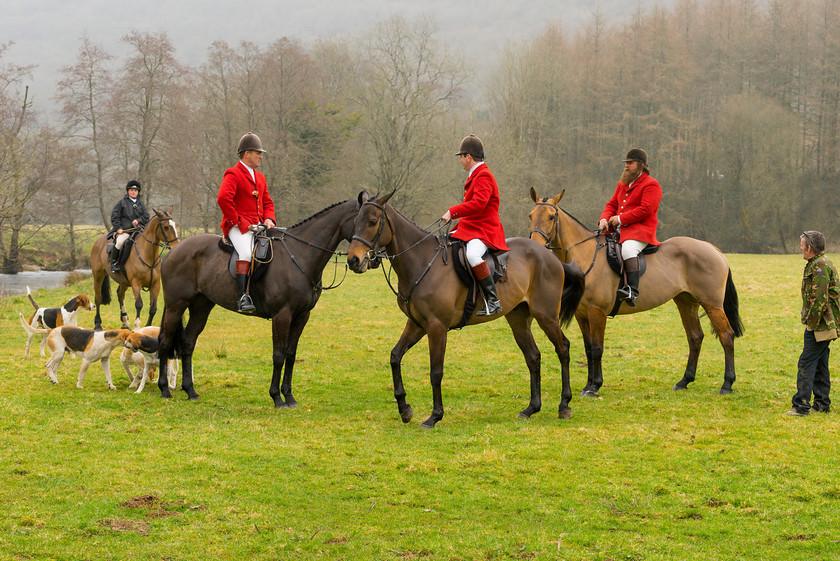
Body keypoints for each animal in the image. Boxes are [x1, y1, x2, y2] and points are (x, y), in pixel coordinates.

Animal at [154, 195, 360, 404]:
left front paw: (289, 397)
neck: (299, 254)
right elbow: (278, 355)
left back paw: (190, 390)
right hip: (175, 306)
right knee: (164, 341)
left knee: (188, 341)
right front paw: (277, 398)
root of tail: (173, 250)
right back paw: (164, 389)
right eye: (363, 220)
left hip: (201, 306)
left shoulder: (302, 316)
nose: (361, 261)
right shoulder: (282, 316)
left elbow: (290, 354)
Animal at [346, 190, 584, 426]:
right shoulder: (416, 324)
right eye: (355, 222)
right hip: (518, 319)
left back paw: (564, 404)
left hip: (546, 316)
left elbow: (436, 372)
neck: (422, 262)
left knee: (563, 348)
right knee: (533, 356)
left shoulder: (436, 327)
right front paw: (404, 408)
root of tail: (550, 256)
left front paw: (434, 416)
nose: (353, 261)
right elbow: (395, 356)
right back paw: (531, 408)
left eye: (373, 222)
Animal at [528, 189, 744, 398]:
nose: (536, 245)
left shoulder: (597, 311)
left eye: (551, 217)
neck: (586, 254)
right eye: (530, 215)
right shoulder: (582, 314)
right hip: (686, 302)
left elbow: (597, 348)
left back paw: (727, 384)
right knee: (695, 337)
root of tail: (712, 248)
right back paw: (684, 381)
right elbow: (589, 349)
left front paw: (594, 386)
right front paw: (588, 384)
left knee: (726, 336)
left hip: (712, 304)